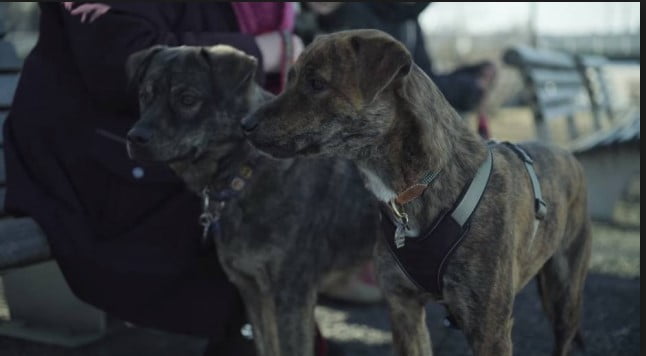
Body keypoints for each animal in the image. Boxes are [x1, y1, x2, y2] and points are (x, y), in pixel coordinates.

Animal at [125, 43, 380, 356]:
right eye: (144, 95)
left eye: (187, 99)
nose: (135, 137)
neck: (246, 171)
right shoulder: (252, 291)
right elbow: (266, 346)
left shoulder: (292, 296)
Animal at [246, 30, 596, 356]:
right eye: (290, 78)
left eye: (316, 83)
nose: (245, 124)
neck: (419, 186)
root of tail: (566, 154)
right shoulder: (404, 308)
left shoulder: (489, 329)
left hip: (563, 292)